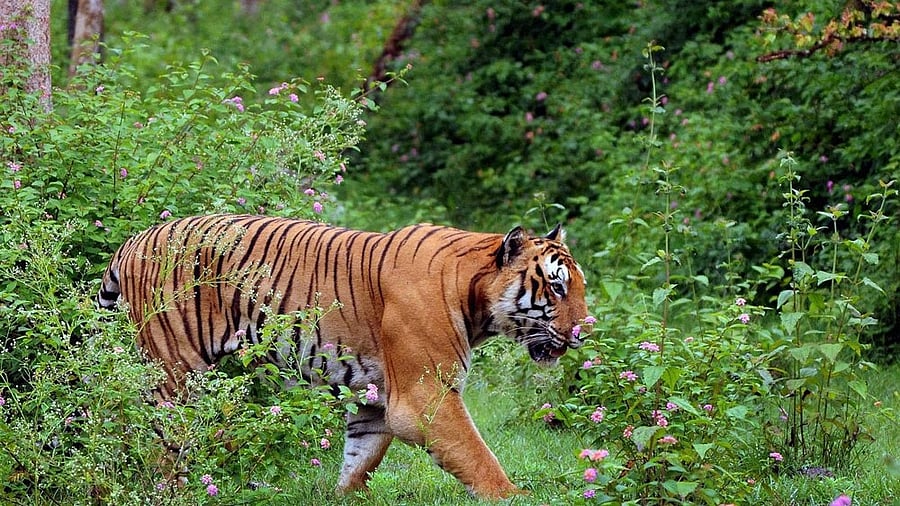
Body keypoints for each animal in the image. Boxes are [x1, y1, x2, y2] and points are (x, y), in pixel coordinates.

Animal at [97, 214, 589, 499]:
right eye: (557, 286)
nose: (588, 330)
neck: (474, 298)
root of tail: (132, 241)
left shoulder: (375, 398)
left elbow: (360, 460)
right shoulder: (425, 396)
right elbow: (477, 455)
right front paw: (515, 495)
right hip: (174, 373)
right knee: (160, 442)